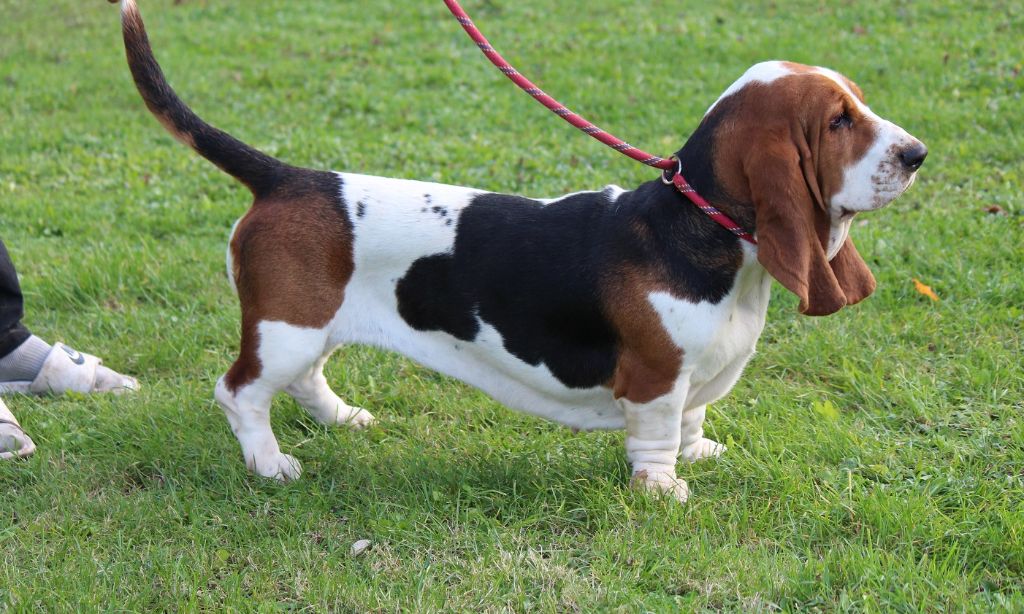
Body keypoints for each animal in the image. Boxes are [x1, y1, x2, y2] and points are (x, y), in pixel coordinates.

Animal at [114, 0, 929, 499]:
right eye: (837, 121)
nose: (918, 154)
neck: (701, 229)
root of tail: (288, 176)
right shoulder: (656, 379)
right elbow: (658, 436)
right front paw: (665, 489)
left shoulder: (692, 378)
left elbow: (692, 422)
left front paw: (700, 453)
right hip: (286, 329)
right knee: (241, 392)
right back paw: (270, 462)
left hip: (311, 324)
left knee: (305, 379)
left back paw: (344, 419)